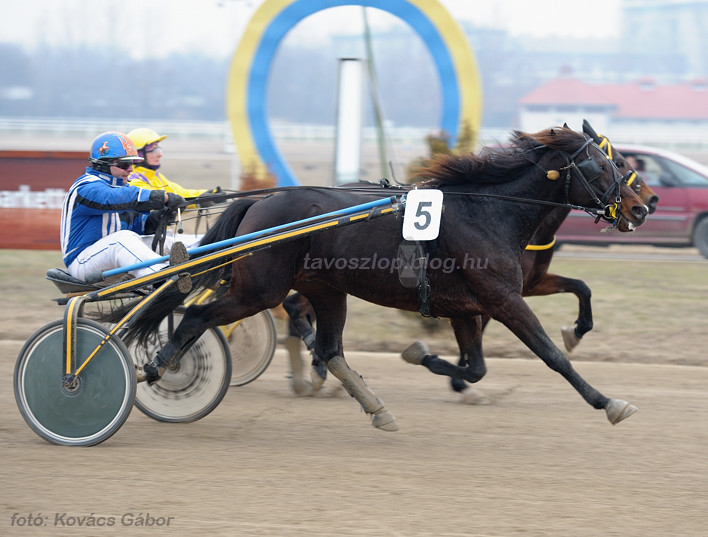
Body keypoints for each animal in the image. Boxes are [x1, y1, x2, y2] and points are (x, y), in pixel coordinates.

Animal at [115, 124, 648, 428]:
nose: (641, 208)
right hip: (259, 288)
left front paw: (425, 357)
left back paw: (374, 406)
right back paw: (160, 368)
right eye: (605, 164)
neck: (490, 211)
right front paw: (607, 402)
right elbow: (552, 355)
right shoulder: (503, 300)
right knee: (197, 316)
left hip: (325, 289)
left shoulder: (467, 306)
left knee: (329, 348)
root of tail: (262, 202)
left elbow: (476, 366)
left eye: (619, 161)